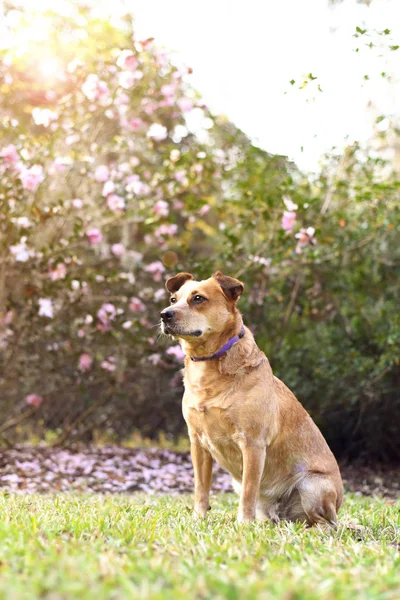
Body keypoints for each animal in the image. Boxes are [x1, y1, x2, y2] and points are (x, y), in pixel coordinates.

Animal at [161, 272, 342, 524]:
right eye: (173, 299)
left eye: (198, 298)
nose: (164, 314)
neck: (209, 370)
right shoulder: (197, 442)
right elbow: (201, 488)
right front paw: (198, 519)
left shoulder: (252, 443)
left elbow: (249, 490)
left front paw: (243, 524)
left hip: (313, 485)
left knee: (327, 523)